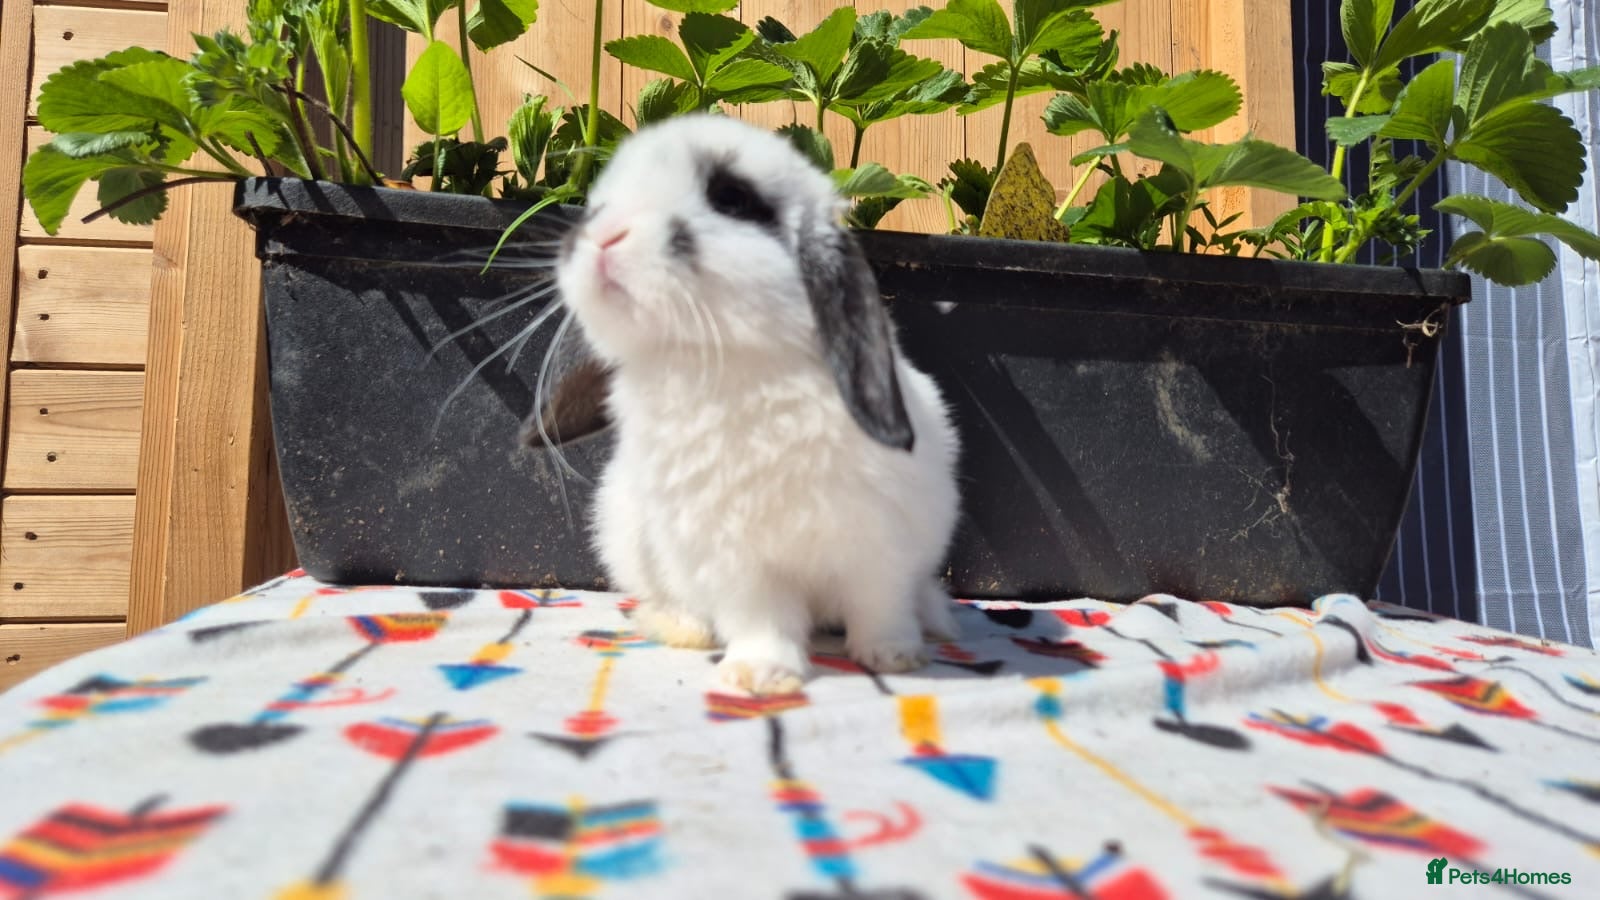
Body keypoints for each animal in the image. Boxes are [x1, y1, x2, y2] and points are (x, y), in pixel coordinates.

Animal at [536, 113, 961, 695]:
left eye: (732, 199)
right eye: (598, 204)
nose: (601, 234)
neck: (732, 365)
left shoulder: (883, 546)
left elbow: (882, 606)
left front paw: (894, 656)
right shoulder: (737, 563)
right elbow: (764, 619)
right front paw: (762, 676)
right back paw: (681, 628)